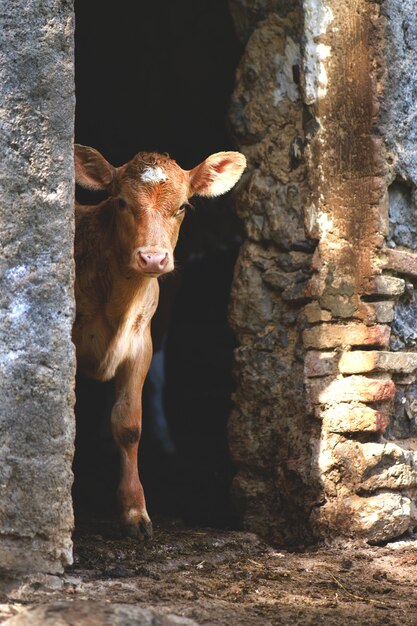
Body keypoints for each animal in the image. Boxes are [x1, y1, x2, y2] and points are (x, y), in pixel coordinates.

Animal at [73, 145, 245, 536]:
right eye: (121, 202)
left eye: (182, 207)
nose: (153, 258)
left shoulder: (141, 345)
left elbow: (128, 425)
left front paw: (135, 512)